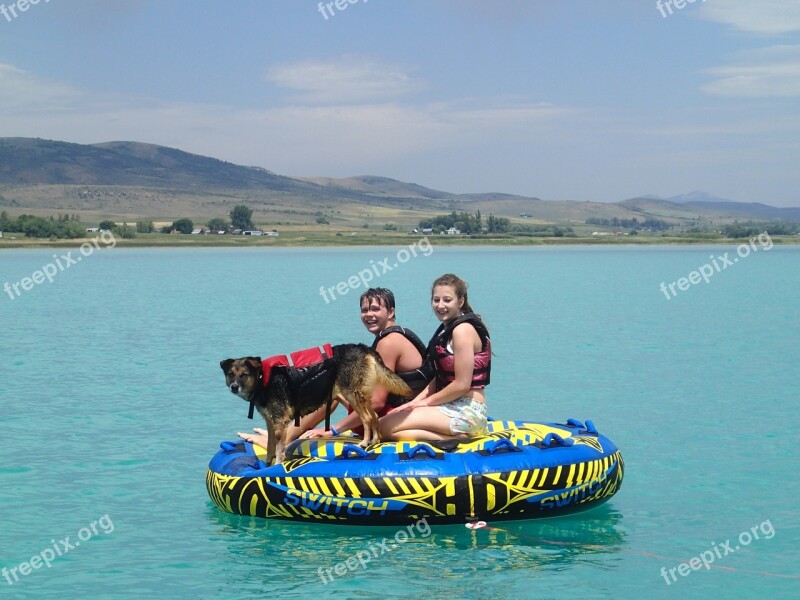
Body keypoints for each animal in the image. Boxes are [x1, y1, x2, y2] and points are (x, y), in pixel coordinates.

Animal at [220, 344, 412, 466]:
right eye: (231, 374)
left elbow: (280, 450)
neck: (262, 380)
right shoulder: (270, 422)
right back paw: (375, 439)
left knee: (366, 418)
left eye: (243, 375)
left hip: (351, 394)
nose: (234, 386)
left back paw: (364, 443)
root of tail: (363, 347)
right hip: (362, 395)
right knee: (374, 416)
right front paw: (266, 465)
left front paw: (277, 466)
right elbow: (269, 448)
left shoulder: (280, 423)